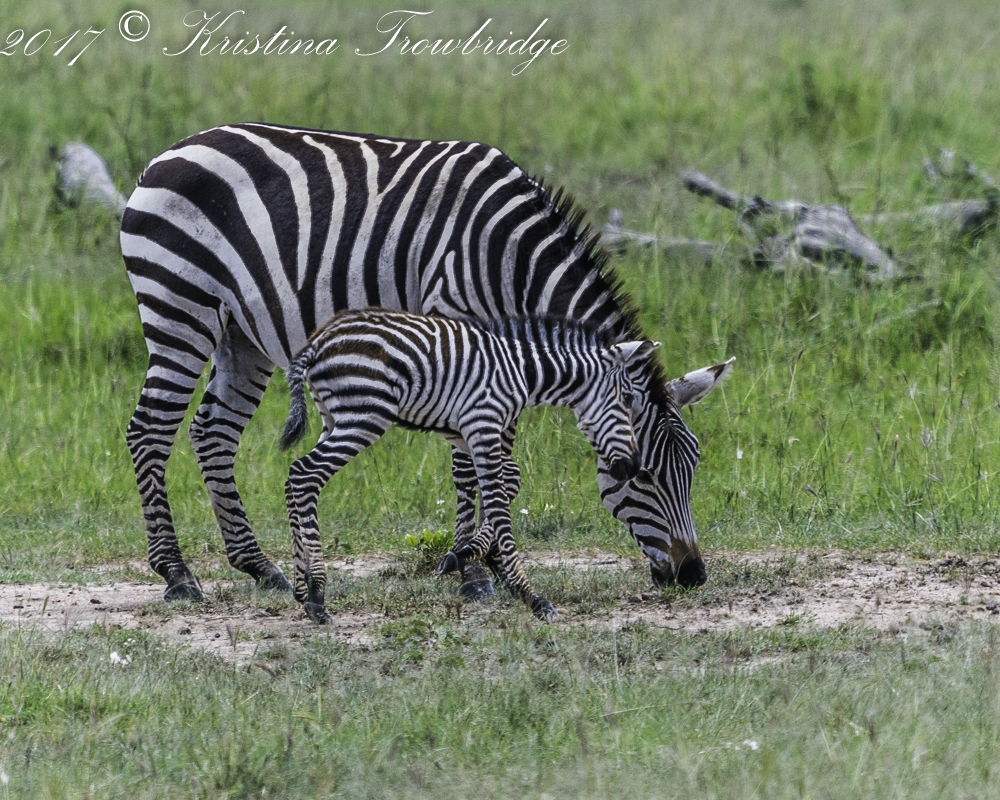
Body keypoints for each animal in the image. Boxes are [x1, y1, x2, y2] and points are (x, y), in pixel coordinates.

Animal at [279, 307, 659, 621]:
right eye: (628, 398)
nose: (633, 467)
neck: (522, 372)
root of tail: (319, 340)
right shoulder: (483, 425)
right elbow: (499, 504)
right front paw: (530, 596)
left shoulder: (465, 434)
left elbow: (510, 481)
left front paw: (463, 554)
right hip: (365, 415)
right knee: (306, 475)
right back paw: (318, 594)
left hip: (333, 418)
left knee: (294, 475)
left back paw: (301, 587)